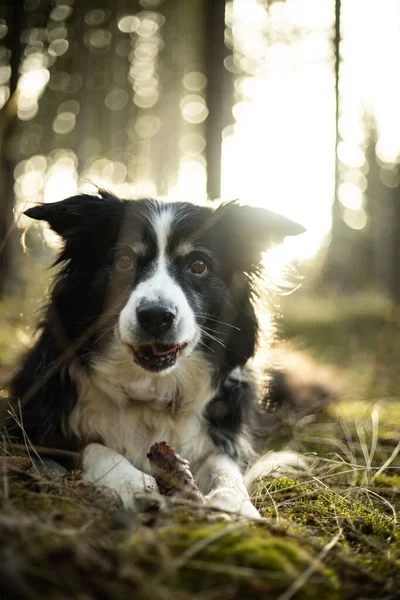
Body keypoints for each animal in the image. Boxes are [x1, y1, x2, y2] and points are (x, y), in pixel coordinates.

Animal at [7, 192, 306, 516]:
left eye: (198, 265)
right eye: (124, 260)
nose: (155, 316)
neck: (150, 391)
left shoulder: (222, 433)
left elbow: (224, 465)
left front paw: (234, 503)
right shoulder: (28, 428)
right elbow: (93, 448)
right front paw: (134, 484)